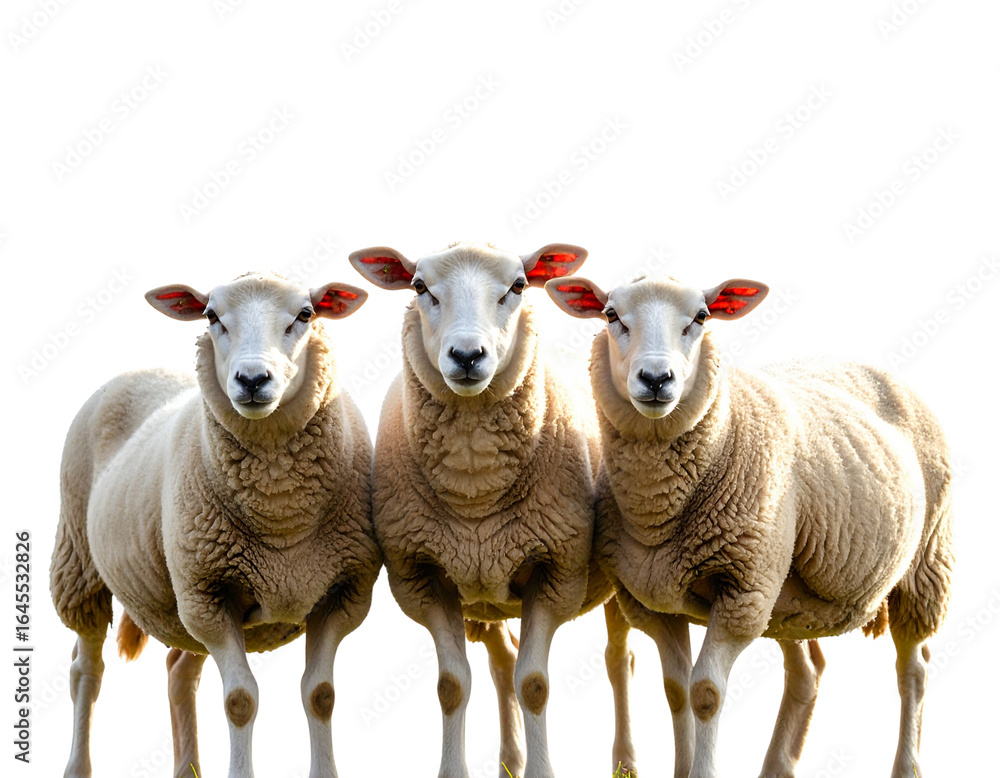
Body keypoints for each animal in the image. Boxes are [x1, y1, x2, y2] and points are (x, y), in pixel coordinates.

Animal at [49, 272, 381, 778]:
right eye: (211, 316)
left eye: (306, 314)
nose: (252, 379)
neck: (280, 517)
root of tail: (137, 370)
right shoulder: (209, 593)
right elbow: (240, 700)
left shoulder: (342, 593)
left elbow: (320, 695)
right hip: (83, 568)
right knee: (86, 670)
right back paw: (78, 766)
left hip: (179, 602)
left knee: (178, 670)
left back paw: (187, 766)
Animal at [348, 242, 640, 778]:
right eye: (419, 286)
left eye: (518, 285)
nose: (467, 356)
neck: (474, 488)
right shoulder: (423, 577)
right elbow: (452, 686)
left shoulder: (555, 573)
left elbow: (535, 684)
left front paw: (542, 771)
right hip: (485, 595)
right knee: (502, 660)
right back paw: (509, 759)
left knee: (618, 659)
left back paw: (626, 761)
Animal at [546, 274, 954, 778]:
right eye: (610, 315)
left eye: (701, 317)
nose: (657, 379)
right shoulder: (654, 601)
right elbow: (676, 691)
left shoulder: (742, 592)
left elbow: (705, 693)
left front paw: (701, 770)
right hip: (786, 598)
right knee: (807, 672)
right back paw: (777, 765)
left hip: (923, 564)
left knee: (913, 669)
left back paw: (906, 764)